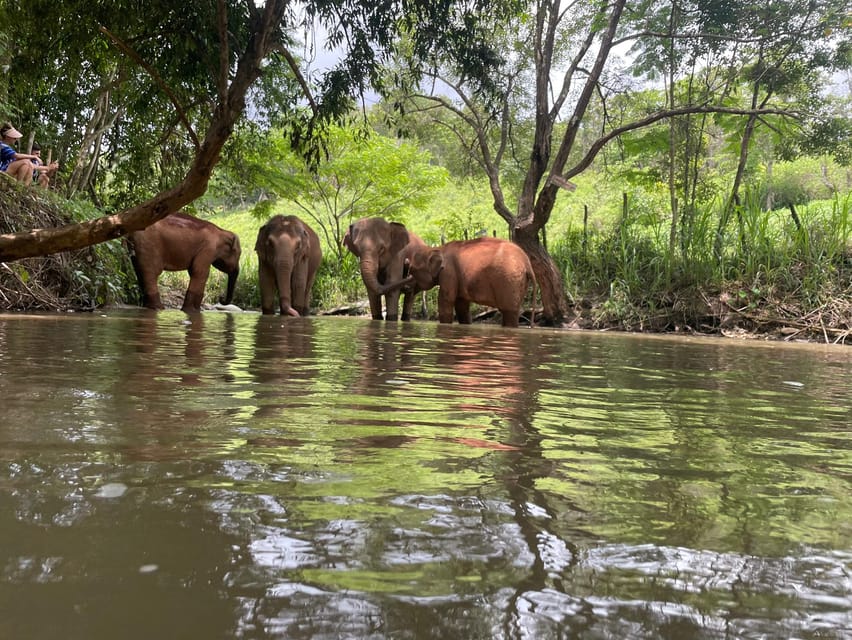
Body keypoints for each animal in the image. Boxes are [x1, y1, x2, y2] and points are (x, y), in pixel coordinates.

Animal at [386, 237, 537, 328]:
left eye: (412, 270)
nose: (406, 286)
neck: (438, 248)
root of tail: (527, 263)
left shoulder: (448, 272)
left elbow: (446, 300)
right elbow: (461, 305)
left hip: (510, 280)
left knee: (509, 311)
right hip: (519, 282)